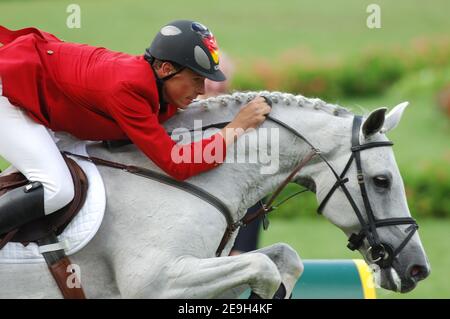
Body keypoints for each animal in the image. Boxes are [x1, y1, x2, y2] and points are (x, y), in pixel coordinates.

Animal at [0, 91, 430, 298]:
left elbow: (284, 259)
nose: (417, 269)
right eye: (381, 181)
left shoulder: (205, 263)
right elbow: (264, 268)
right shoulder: (159, 281)